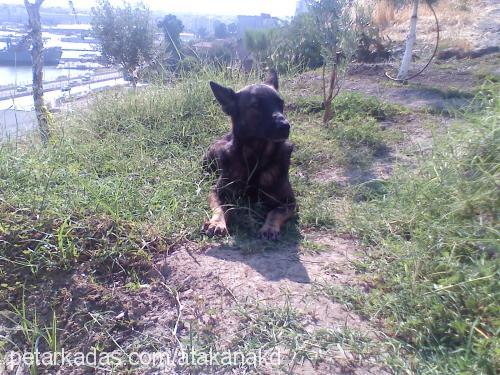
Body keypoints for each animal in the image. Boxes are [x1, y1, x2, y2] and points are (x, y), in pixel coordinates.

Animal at [201, 70, 294, 241]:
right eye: (255, 105)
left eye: (280, 103)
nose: (285, 126)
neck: (256, 157)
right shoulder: (217, 191)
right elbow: (221, 208)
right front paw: (217, 223)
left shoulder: (289, 201)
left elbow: (275, 211)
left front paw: (269, 228)